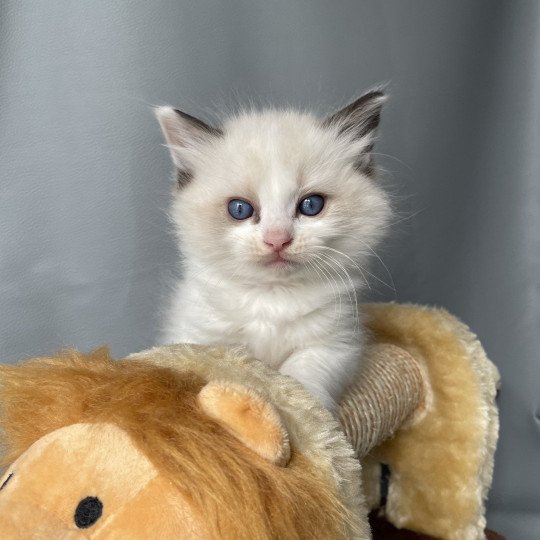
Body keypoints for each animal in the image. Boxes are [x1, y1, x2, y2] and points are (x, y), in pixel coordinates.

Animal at [154, 88, 390, 412]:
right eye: (240, 209)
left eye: (311, 205)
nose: (277, 240)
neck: (272, 297)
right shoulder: (197, 336)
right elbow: (218, 368)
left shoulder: (334, 345)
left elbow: (303, 380)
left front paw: (298, 411)